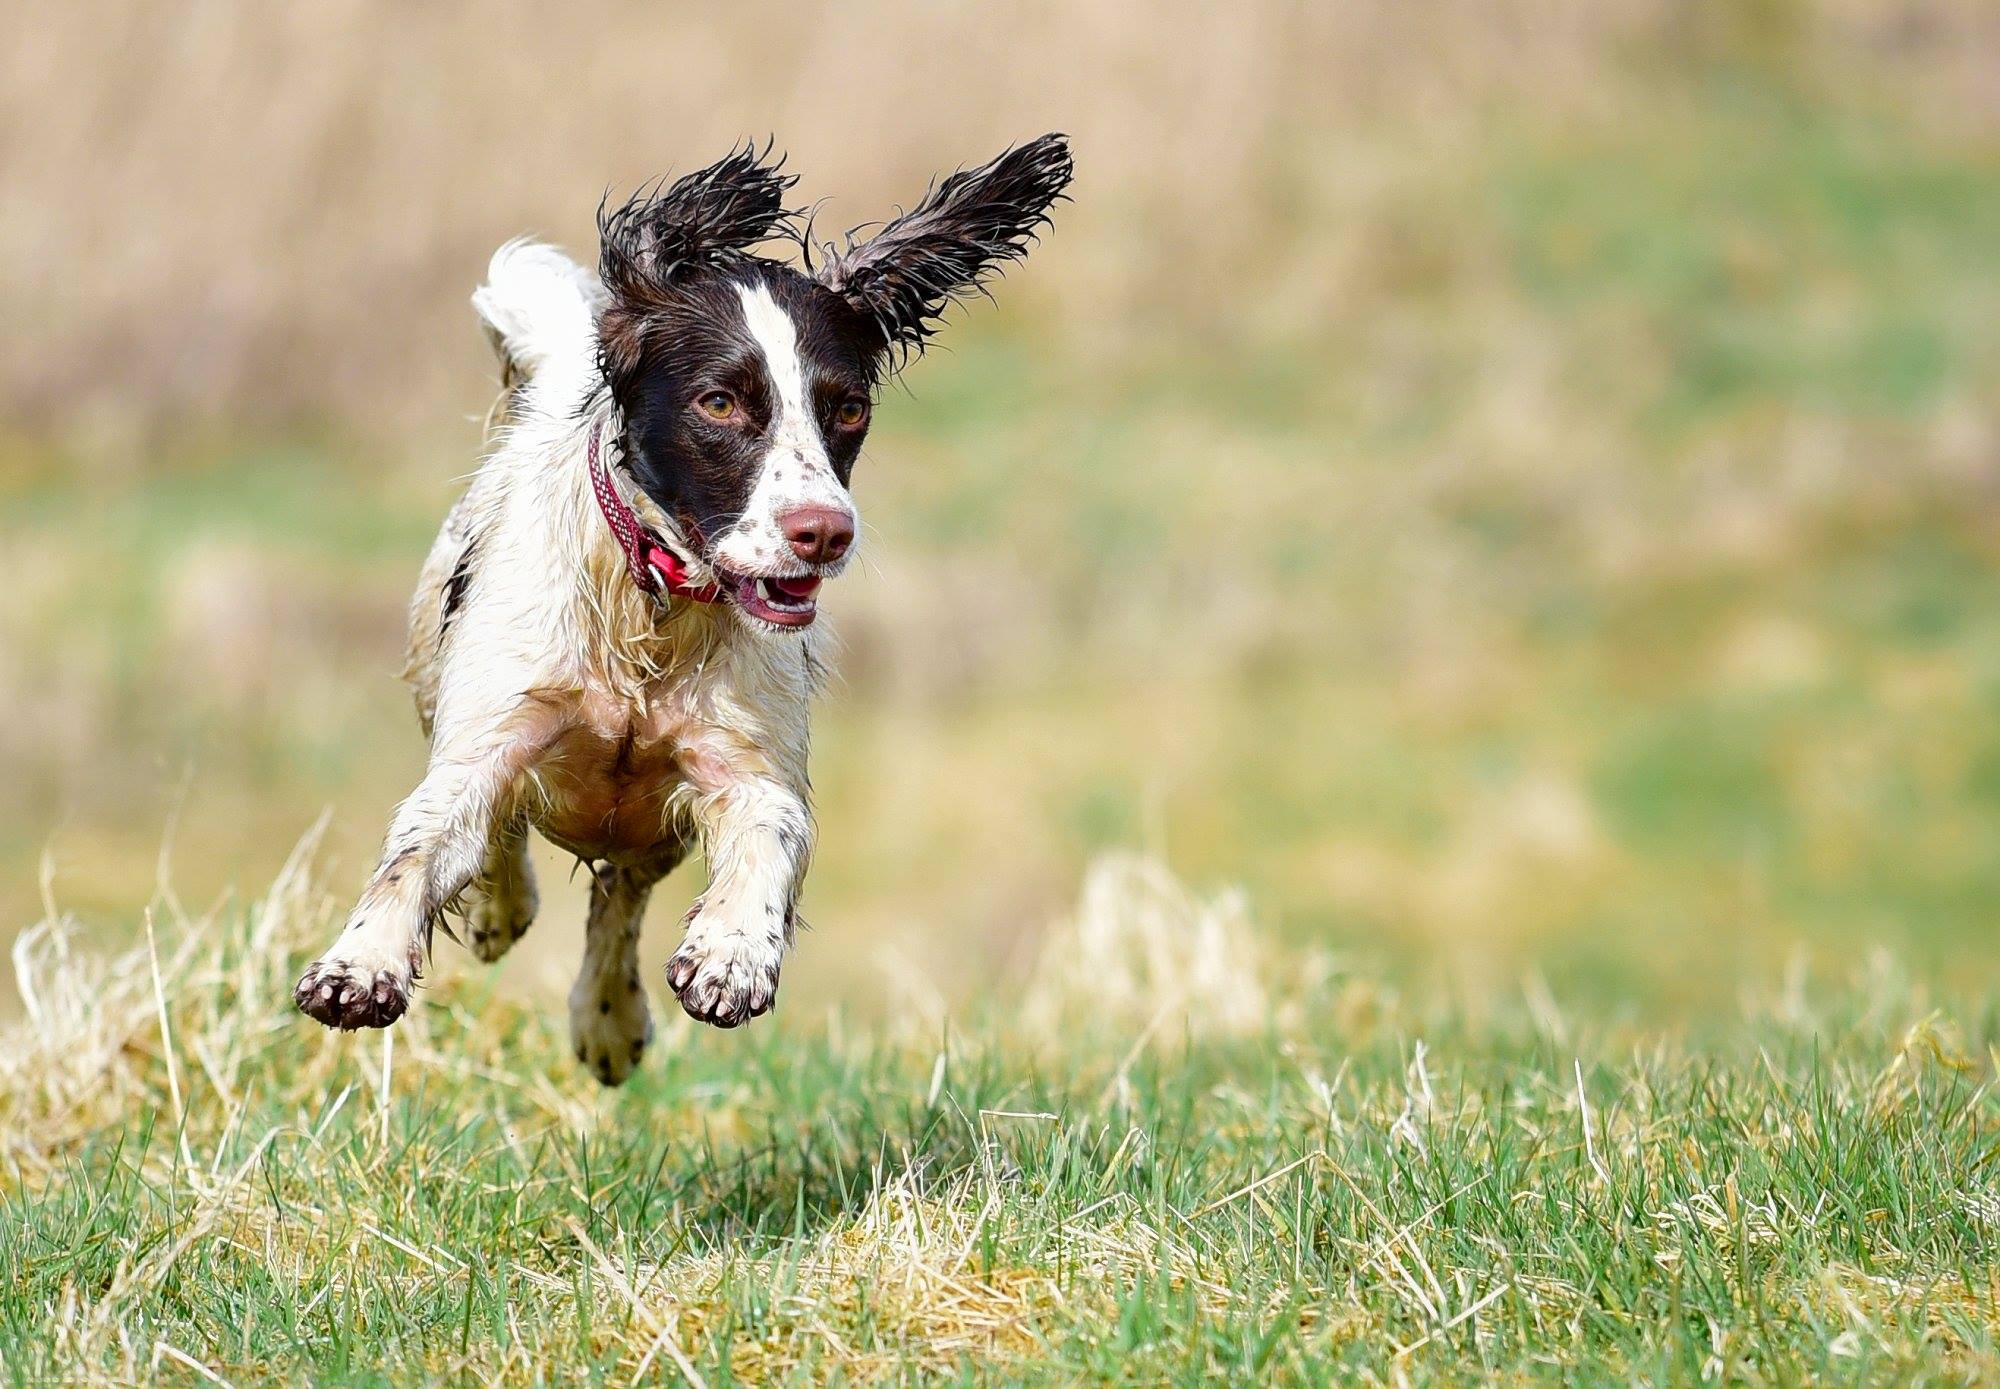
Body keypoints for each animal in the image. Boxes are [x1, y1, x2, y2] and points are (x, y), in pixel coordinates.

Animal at [292, 136, 1072, 1080]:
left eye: (848, 407)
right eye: (720, 402)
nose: (825, 531)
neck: (654, 606)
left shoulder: (743, 768)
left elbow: (767, 832)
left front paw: (731, 956)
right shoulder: (487, 738)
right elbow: (422, 842)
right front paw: (360, 962)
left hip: (641, 834)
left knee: (615, 907)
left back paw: (608, 1020)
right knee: (504, 840)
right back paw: (497, 913)